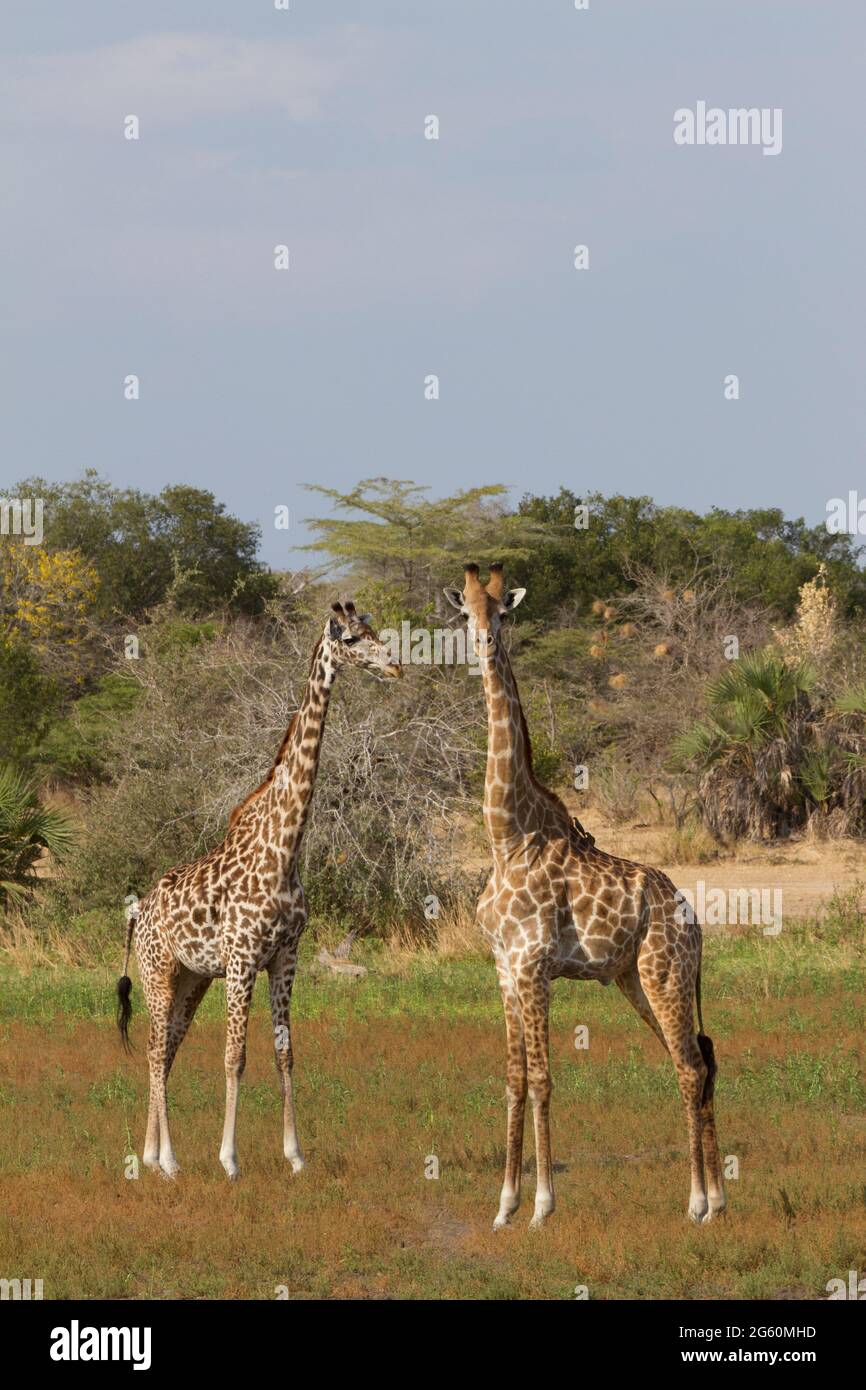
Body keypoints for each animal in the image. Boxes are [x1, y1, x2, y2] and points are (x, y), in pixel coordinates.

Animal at [115, 603, 403, 1178]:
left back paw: (154, 1156)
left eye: (375, 632)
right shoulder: (243, 959)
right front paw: (229, 1160)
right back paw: (167, 1160)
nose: (395, 665)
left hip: (190, 980)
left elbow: (283, 1053)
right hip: (158, 973)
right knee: (156, 1051)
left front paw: (296, 1155)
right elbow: (235, 1056)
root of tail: (139, 912)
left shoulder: (284, 957)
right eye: (353, 639)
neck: (284, 848)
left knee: (168, 1050)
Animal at [444, 561, 728, 1228]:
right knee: (698, 1060)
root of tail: (694, 921)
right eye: (465, 611)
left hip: (662, 973)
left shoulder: (534, 965)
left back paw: (698, 1202)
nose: (485, 643)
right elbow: (514, 1079)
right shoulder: (504, 966)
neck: (506, 835)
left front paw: (543, 1206)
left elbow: (545, 1078)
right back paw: (720, 1199)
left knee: (689, 1065)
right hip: (633, 980)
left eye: (503, 611)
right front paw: (504, 1206)